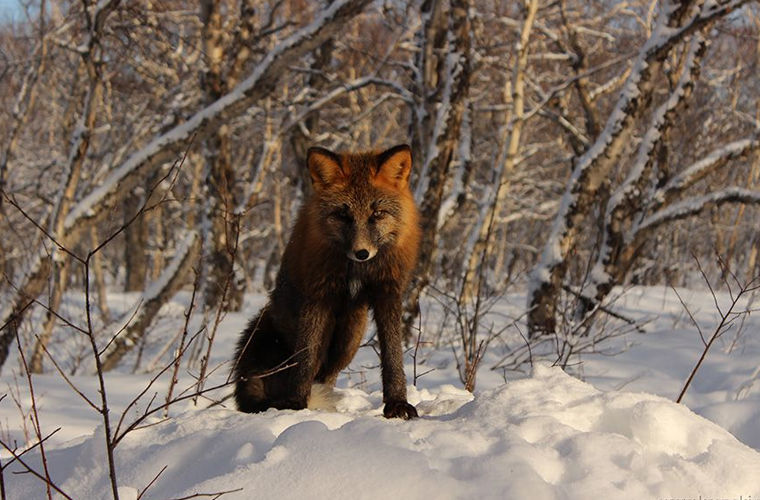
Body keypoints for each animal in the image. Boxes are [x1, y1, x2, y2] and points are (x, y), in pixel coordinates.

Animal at [232, 144, 422, 418]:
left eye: (377, 214)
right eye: (343, 215)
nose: (362, 252)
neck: (355, 271)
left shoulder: (387, 293)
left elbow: (393, 356)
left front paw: (397, 403)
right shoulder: (317, 296)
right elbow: (306, 357)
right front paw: (295, 403)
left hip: (348, 340)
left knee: (326, 375)